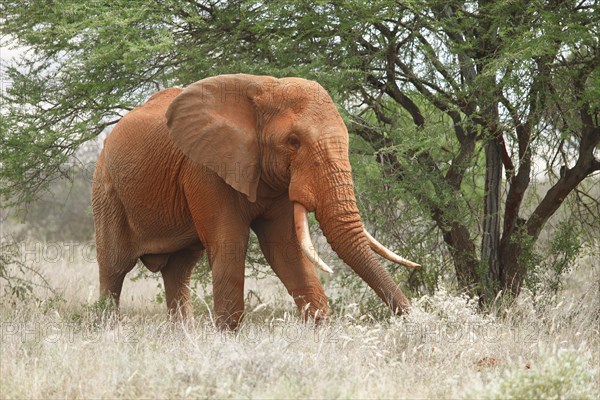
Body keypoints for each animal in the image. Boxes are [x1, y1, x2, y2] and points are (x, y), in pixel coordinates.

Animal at [91, 73, 420, 330]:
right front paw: (226, 340)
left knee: (179, 271)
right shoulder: (206, 170)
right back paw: (109, 330)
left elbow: (285, 249)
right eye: (293, 142)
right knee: (114, 269)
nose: (414, 319)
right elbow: (229, 245)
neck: (265, 87)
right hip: (106, 189)